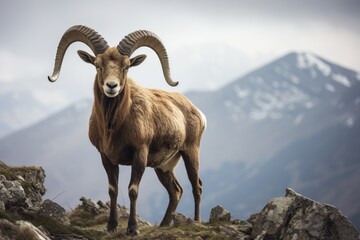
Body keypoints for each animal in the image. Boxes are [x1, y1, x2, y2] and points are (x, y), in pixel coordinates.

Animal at [47, 25, 205, 235]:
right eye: (97, 64)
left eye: (127, 66)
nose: (111, 86)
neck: (113, 127)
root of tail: (196, 111)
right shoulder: (106, 157)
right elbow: (113, 189)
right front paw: (111, 226)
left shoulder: (140, 153)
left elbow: (133, 190)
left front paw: (132, 229)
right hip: (163, 166)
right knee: (176, 191)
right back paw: (163, 224)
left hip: (190, 152)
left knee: (197, 187)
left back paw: (196, 222)